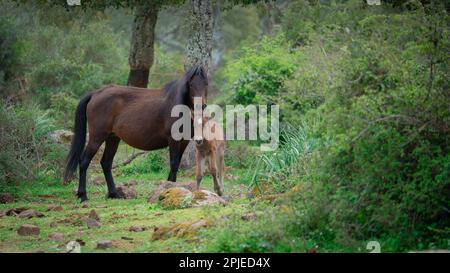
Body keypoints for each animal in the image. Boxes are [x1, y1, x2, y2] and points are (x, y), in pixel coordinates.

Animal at [62, 66, 207, 202]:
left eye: (206, 82)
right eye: (191, 84)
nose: (202, 106)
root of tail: (95, 94)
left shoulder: (183, 141)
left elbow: (175, 165)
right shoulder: (173, 141)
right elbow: (173, 163)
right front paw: (170, 188)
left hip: (113, 138)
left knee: (106, 163)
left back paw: (114, 194)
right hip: (97, 137)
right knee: (84, 161)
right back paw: (83, 195)